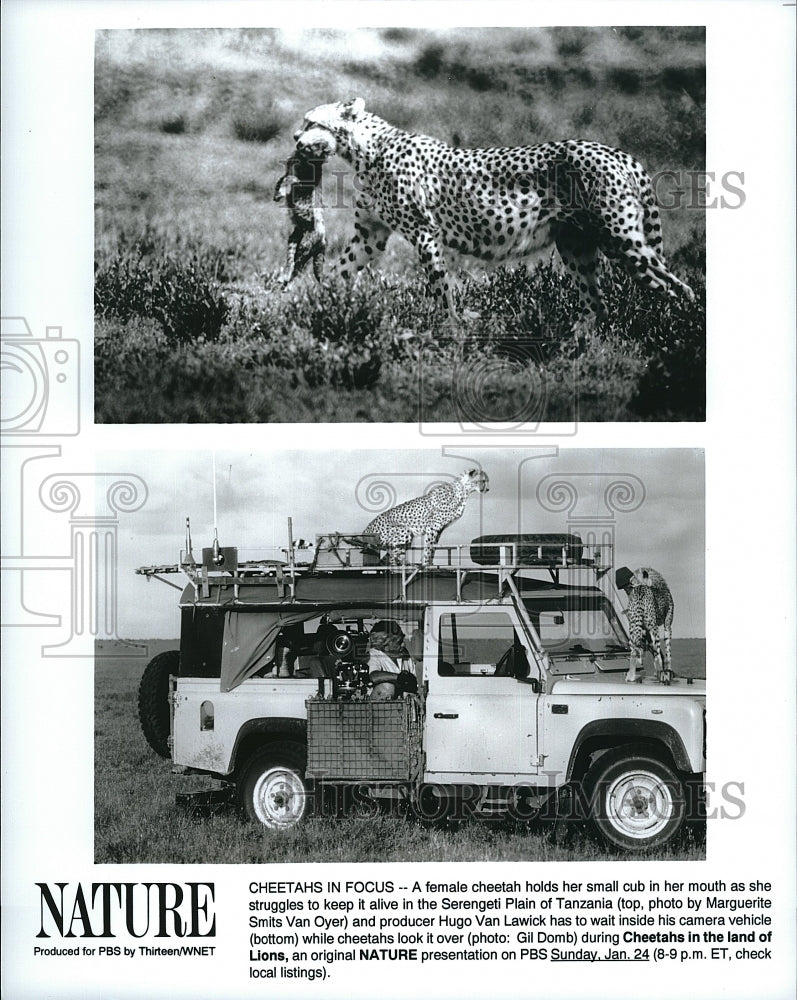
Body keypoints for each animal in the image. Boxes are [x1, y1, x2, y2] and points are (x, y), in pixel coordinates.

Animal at [290, 99, 692, 322]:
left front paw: (450, 326)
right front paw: (318, 305)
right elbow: (341, 271)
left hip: (619, 239)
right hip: (577, 245)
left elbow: (440, 288)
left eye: (313, 122)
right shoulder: (370, 234)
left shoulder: (424, 232)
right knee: (597, 306)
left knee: (677, 288)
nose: (295, 138)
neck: (368, 149)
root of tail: (615, 151)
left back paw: (677, 336)